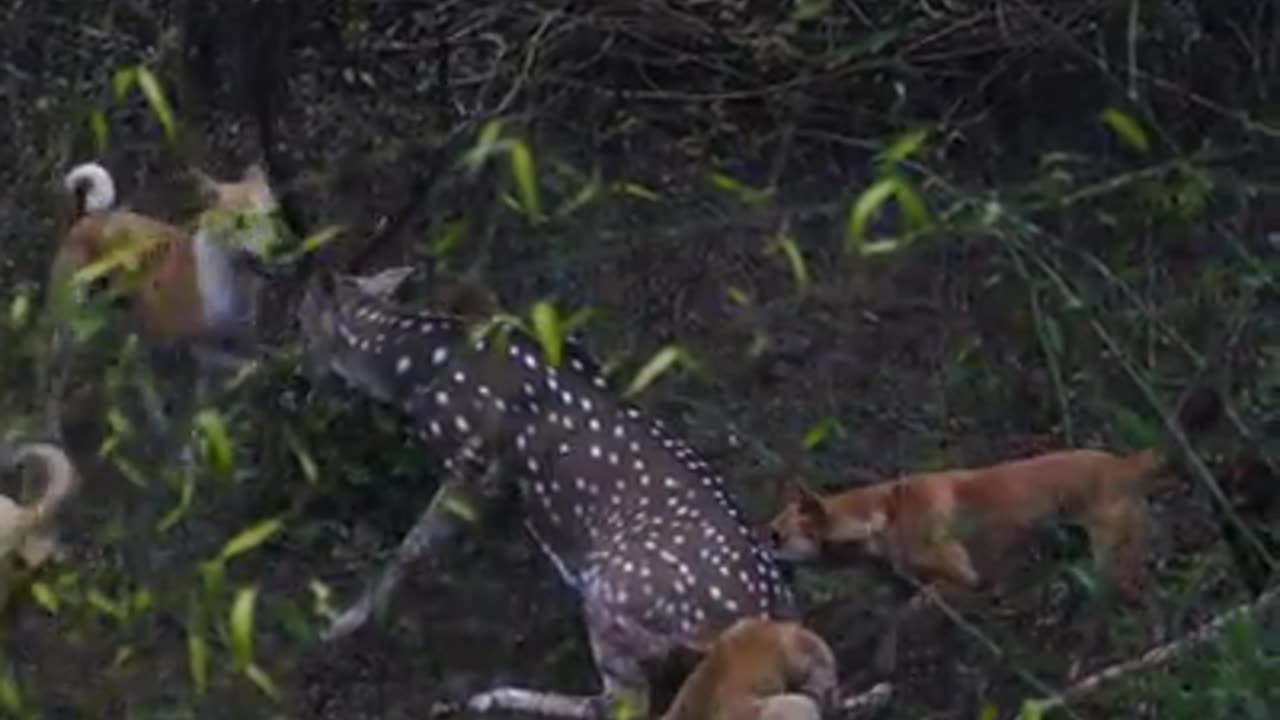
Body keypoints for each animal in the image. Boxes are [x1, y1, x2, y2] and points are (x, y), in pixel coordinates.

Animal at [296, 266, 798, 718]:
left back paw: (493, 696)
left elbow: (414, 545)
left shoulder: (473, 461)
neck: (418, 366)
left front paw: (342, 623)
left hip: (614, 593)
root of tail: (758, 617)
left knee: (622, 703)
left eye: (302, 322)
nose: (298, 382)